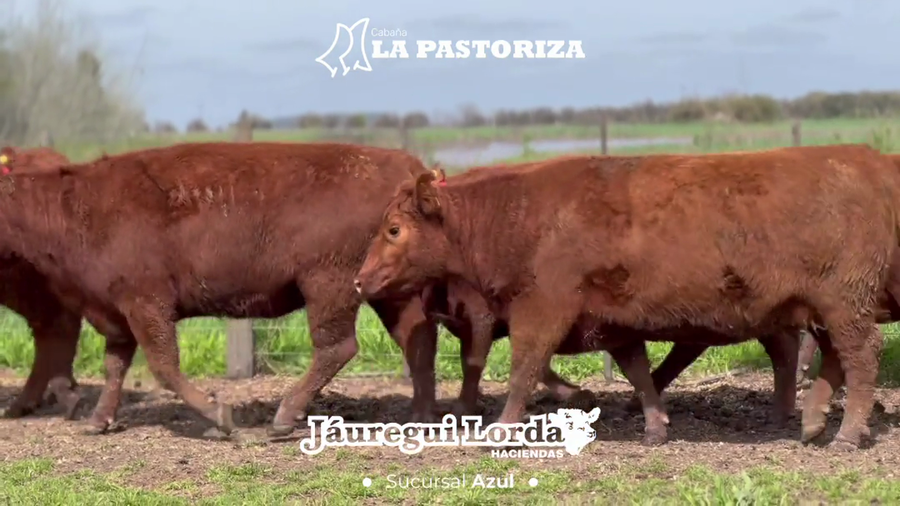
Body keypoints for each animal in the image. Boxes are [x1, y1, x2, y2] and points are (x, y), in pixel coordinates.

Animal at [354, 145, 900, 450]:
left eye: (394, 229)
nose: (360, 281)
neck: (521, 214)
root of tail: (865, 161)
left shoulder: (542, 309)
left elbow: (523, 369)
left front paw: (500, 430)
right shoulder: (610, 321)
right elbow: (637, 370)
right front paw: (656, 426)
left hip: (845, 305)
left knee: (861, 357)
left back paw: (846, 434)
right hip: (825, 311)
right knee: (831, 359)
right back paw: (812, 424)